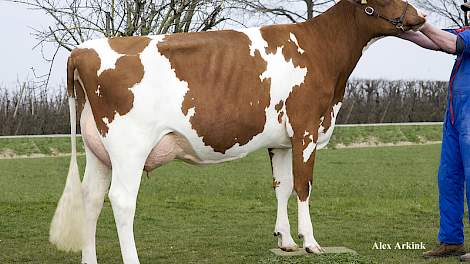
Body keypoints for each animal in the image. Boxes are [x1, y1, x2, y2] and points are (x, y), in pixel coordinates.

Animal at [48, 1, 426, 262]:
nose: (420, 16)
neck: (320, 51)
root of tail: (82, 51)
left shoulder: (281, 141)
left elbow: (282, 186)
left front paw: (286, 240)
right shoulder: (305, 130)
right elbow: (303, 186)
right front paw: (311, 242)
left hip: (99, 152)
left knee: (91, 198)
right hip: (129, 149)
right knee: (121, 200)